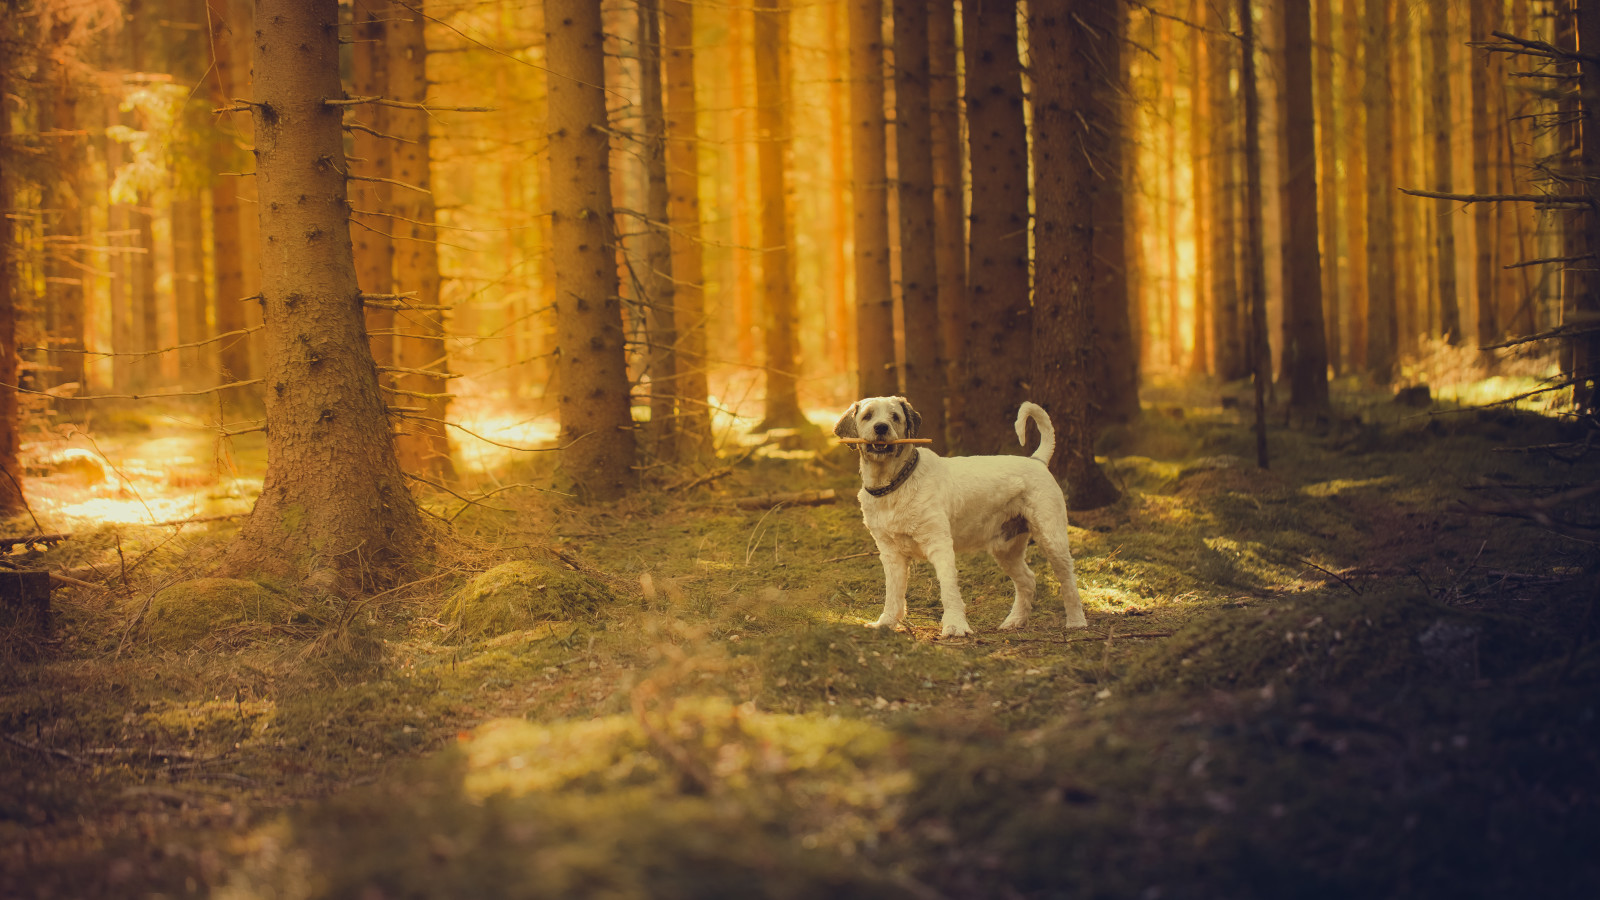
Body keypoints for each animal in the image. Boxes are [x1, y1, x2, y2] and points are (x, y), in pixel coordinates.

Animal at [838, 395, 1088, 634]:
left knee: (1068, 581)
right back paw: (1014, 621)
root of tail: (1037, 461)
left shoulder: (939, 544)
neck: (897, 483)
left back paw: (1076, 621)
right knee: (1028, 580)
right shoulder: (890, 553)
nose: (881, 427)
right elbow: (893, 592)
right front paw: (886, 623)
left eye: (895, 417)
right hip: (1006, 548)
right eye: (868, 416)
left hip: (1052, 538)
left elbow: (948, 589)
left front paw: (955, 626)